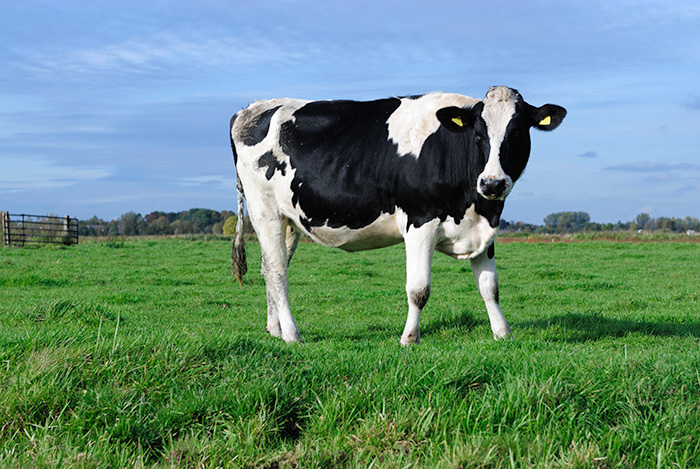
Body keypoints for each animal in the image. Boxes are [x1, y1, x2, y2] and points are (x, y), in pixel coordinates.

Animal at [229, 86, 566, 345]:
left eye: (518, 132)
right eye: (479, 135)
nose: (492, 183)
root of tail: (250, 108)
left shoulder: (483, 228)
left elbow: (490, 287)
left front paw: (502, 333)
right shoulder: (420, 222)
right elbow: (418, 289)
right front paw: (409, 338)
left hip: (288, 220)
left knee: (269, 268)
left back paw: (274, 329)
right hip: (265, 211)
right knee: (277, 272)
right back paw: (292, 334)